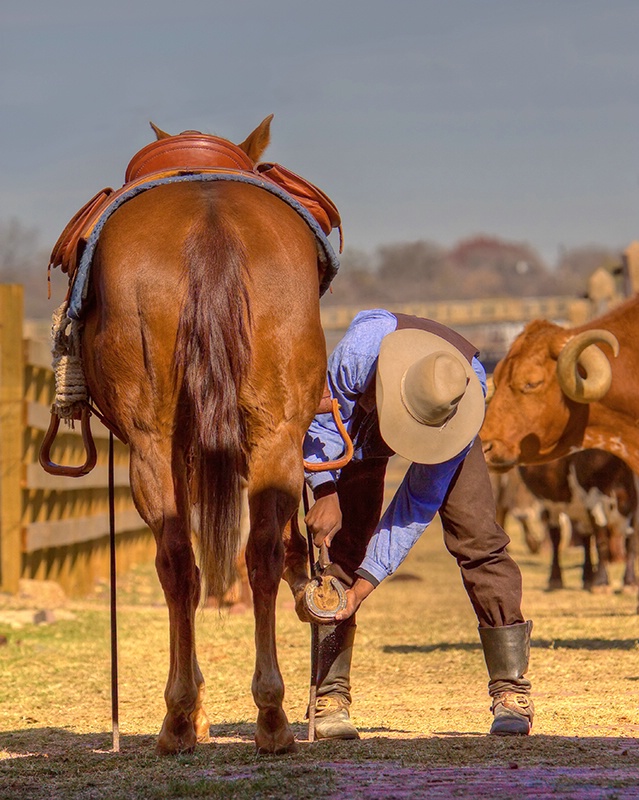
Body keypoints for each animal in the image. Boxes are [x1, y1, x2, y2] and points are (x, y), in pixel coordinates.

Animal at [78, 115, 330, 752]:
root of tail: (210, 223)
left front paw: (196, 712)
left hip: (153, 442)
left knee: (177, 561)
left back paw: (177, 722)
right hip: (272, 433)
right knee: (258, 554)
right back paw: (270, 718)